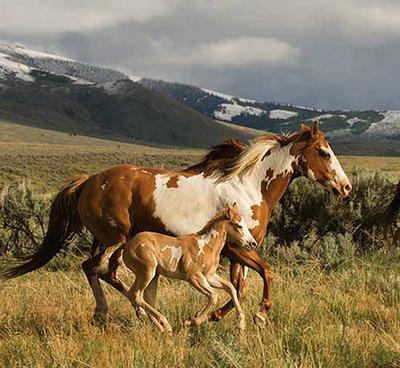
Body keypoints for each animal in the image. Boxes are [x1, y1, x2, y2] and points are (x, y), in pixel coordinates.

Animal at [122, 204, 258, 334]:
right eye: (238, 225)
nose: (253, 244)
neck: (206, 246)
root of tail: (127, 247)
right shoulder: (193, 277)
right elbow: (214, 296)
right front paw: (189, 321)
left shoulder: (209, 276)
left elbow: (230, 288)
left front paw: (241, 324)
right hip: (147, 271)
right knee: (135, 295)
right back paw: (166, 325)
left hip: (154, 276)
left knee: (147, 299)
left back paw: (162, 329)